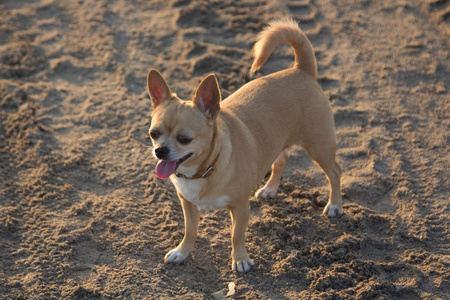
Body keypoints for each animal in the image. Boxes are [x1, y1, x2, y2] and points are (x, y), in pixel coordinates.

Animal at [147, 18, 342, 272]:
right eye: (153, 134)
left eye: (184, 139)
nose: (159, 150)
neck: (203, 171)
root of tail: (301, 69)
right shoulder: (188, 204)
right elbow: (190, 230)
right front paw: (183, 251)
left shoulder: (240, 208)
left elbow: (236, 235)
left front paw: (240, 260)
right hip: (282, 142)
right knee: (281, 161)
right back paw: (270, 188)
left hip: (319, 147)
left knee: (335, 172)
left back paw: (335, 205)